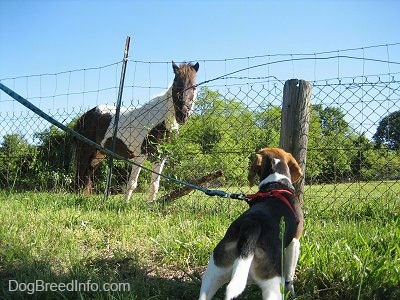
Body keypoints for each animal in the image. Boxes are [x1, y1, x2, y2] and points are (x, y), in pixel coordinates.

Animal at [73, 61, 198, 200]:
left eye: (194, 86)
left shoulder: (161, 156)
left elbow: (155, 185)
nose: (183, 115)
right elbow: (132, 184)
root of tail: (84, 117)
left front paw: (151, 203)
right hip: (85, 151)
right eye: (175, 84)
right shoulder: (140, 155)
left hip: (98, 154)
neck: (161, 122)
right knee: (80, 176)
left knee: (86, 177)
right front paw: (125, 202)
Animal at [200, 148, 304, 300]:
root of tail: (251, 226)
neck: (275, 183)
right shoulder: (295, 242)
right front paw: (291, 291)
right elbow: (290, 274)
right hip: (272, 284)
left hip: (213, 273)